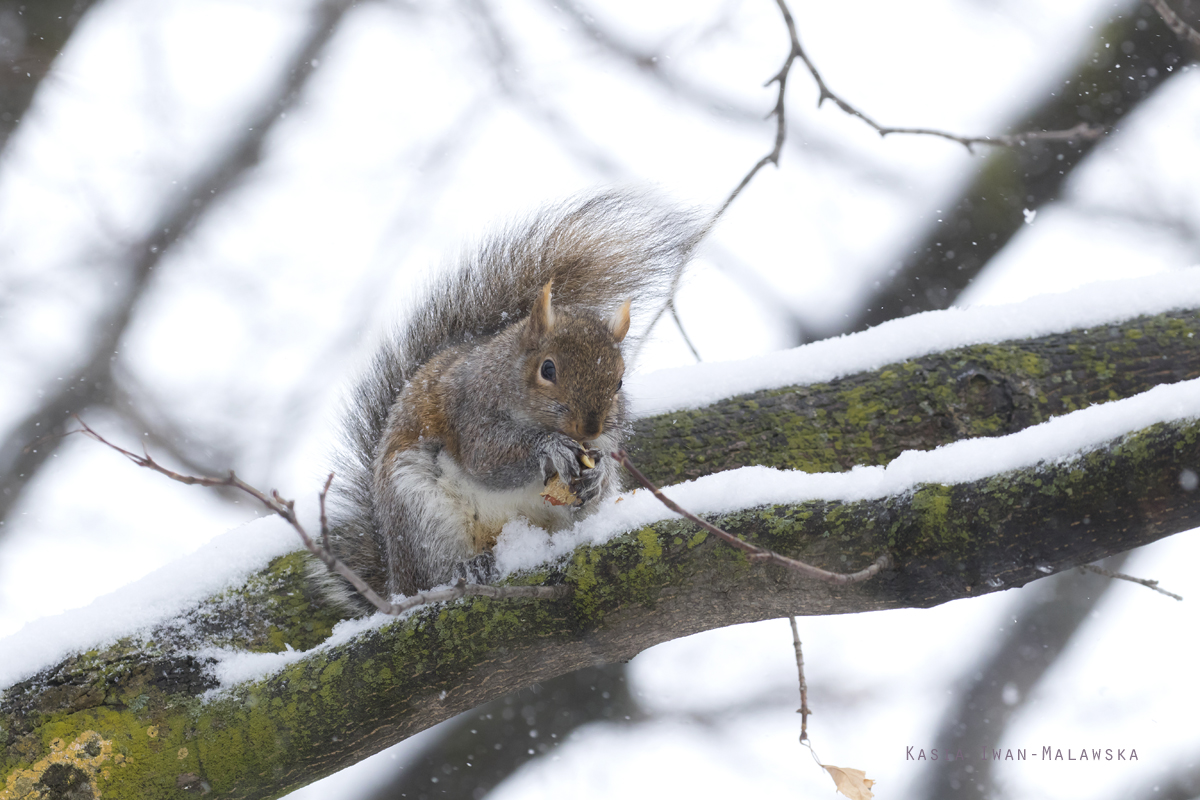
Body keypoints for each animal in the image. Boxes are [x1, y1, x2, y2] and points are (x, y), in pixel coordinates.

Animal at [319, 189, 705, 614]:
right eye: (548, 369)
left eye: (620, 381)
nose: (589, 428)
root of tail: (394, 582)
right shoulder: (469, 410)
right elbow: (486, 460)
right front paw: (550, 448)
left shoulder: (607, 438)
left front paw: (597, 474)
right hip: (420, 513)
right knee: (434, 574)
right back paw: (469, 568)